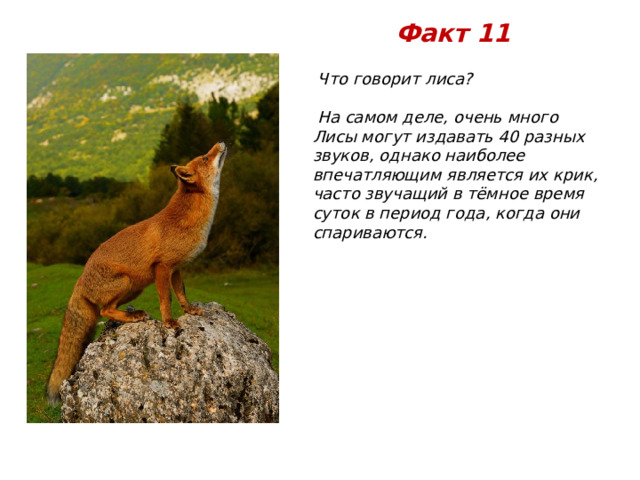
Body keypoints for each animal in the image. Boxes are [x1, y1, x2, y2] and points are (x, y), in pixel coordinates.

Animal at [46, 141, 228, 405]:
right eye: (205, 157)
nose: (221, 142)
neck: (188, 221)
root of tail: (79, 280)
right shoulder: (162, 267)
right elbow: (166, 299)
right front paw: (170, 322)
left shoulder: (176, 268)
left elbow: (182, 294)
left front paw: (190, 310)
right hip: (127, 282)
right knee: (104, 311)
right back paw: (133, 317)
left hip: (134, 289)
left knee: (107, 311)